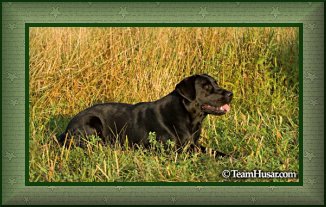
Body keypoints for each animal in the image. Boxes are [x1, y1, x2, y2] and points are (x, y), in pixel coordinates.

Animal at [58, 73, 232, 156]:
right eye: (206, 87)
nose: (231, 94)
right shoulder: (172, 150)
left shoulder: (194, 145)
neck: (188, 118)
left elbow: (215, 152)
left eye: (215, 83)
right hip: (93, 122)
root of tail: (66, 130)